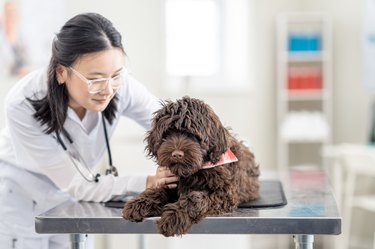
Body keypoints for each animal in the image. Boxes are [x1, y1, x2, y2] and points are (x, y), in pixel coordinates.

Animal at [122, 96, 260, 236]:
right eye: (167, 133)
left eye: (192, 134)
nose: (177, 154)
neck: (196, 170)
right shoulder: (172, 181)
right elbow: (160, 190)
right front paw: (139, 203)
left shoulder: (225, 194)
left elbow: (195, 198)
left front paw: (173, 216)